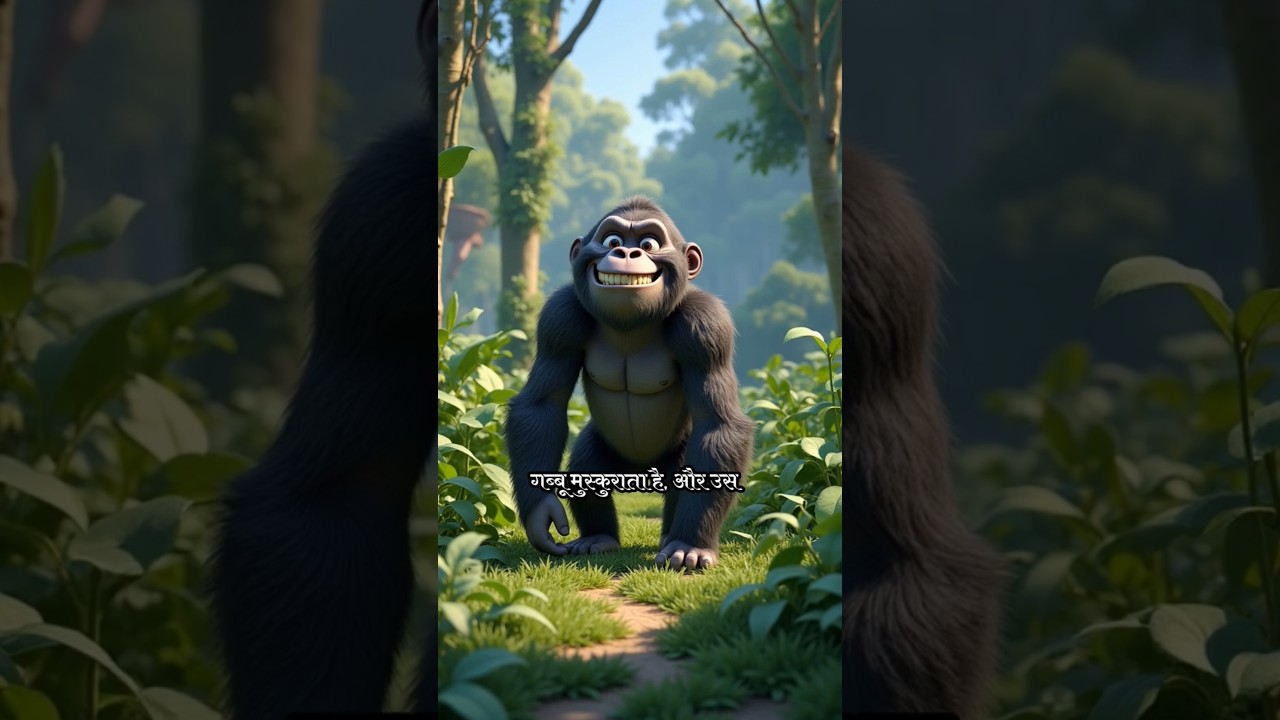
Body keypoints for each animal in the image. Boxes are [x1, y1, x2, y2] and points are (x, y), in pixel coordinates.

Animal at [505, 196, 756, 571]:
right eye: (611, 240)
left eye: (649, 244)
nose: (625, 252)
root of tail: (639, 472)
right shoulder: (560, 316)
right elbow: (541, 406)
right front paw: (541, 514)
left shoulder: (705, 325)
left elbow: (717, 424)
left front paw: (691, 546)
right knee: (585, 464)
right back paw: (598, 537)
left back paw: (672, 537)